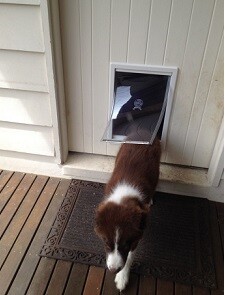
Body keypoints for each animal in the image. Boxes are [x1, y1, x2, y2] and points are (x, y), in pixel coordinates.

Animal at [94, 139, 161, 292]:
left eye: (126, 244)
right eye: (106, 242)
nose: (113, 270)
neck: (123, 196)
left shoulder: (138, 234)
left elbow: (130, 257)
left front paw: (122, 278)